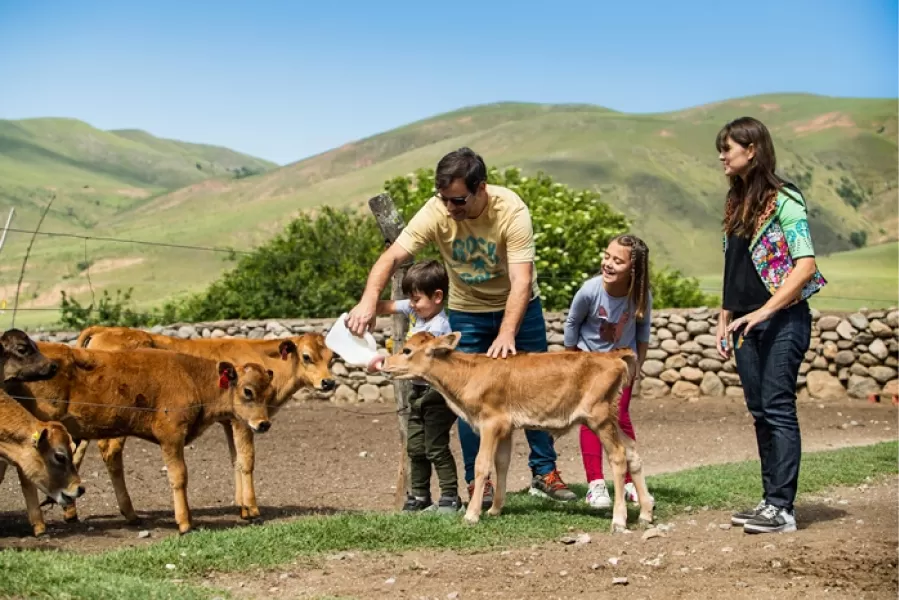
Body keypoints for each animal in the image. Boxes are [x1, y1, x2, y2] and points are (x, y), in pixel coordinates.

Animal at [6, 342, 274, 536]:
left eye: (268, 392)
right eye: (248, 391)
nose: (264, 424)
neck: (192, 377)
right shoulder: (171, 436)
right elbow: (179, 476)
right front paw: (185, 523)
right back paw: (39, 525)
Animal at [72, 326, 336, 516]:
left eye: (331, 358)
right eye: (306, 356)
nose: (329, 382)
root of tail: (104, 330)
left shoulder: (229, 422)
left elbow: (235, 460)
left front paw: (240, 504)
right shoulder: (243, 422)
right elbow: (247, 460)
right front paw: (251, 508)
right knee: (110, 453)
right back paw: (129, 513)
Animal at [380, 330, 652, 532]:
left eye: (407, 350)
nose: (383, 362)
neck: (467, 376)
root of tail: (613, 356)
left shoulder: (490, 422)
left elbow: (482, 464)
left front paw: (472, 514)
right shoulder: (507, 428)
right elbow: (501, 463)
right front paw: (494, 509)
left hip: (599, 417)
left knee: (618, 456)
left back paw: (619, 520)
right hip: (610, 418)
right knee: (632, 451)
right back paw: (646, 514)